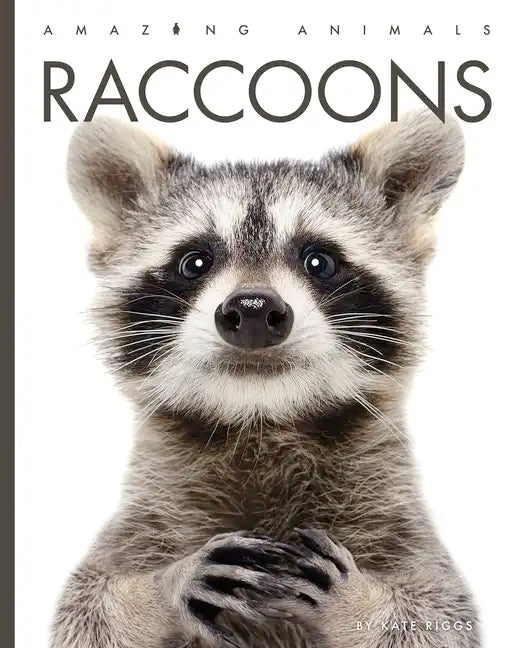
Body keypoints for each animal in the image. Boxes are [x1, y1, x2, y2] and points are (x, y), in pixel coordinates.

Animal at [51, 110, 480, 648]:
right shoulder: (141, 523)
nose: (254, 311)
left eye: (319, 260)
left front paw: (357, 601)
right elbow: (85, 609)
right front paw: (159, 589)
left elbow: (441, 618)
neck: (260, 420)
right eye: (194, 261)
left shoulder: (402, 528)